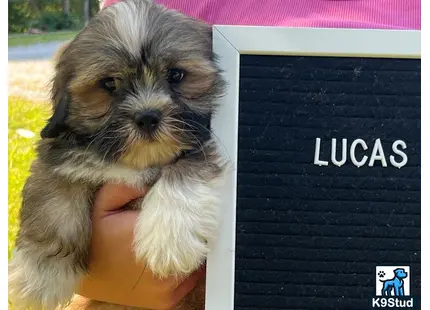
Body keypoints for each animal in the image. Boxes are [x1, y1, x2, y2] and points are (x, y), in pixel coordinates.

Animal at [8, 1, 227, 308]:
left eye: (175, 75)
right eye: (109, 84)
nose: (147, 117)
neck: (136, 162)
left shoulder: (203, 147)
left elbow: (185, 171)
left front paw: (169, 239)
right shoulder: (59, 157)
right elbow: (52, 200)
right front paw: (38, 277)